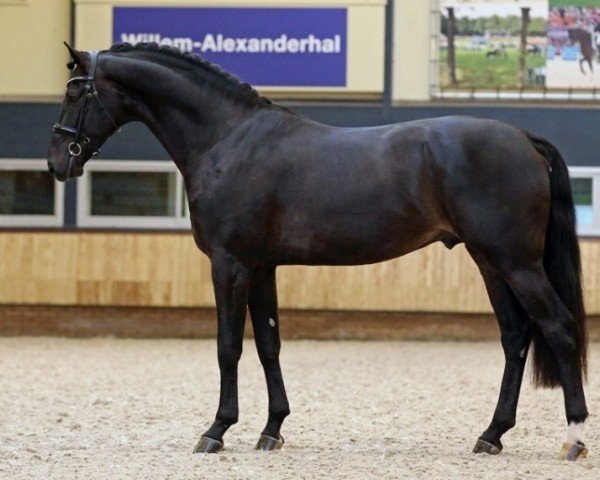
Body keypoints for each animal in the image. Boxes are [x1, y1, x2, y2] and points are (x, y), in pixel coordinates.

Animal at [49, 45, 588, 462]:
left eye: (75, 93)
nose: (57, 163)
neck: (228, 139)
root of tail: (523, 138)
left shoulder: (229, 264)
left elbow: (228, 346)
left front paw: (216, 430)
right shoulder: (261, 266)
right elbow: (268, 344)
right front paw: (271, 430)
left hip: (516, 264)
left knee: (558, 328)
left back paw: (574, 437)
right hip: (490, 262)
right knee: (515, 336)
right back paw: (491, 435)